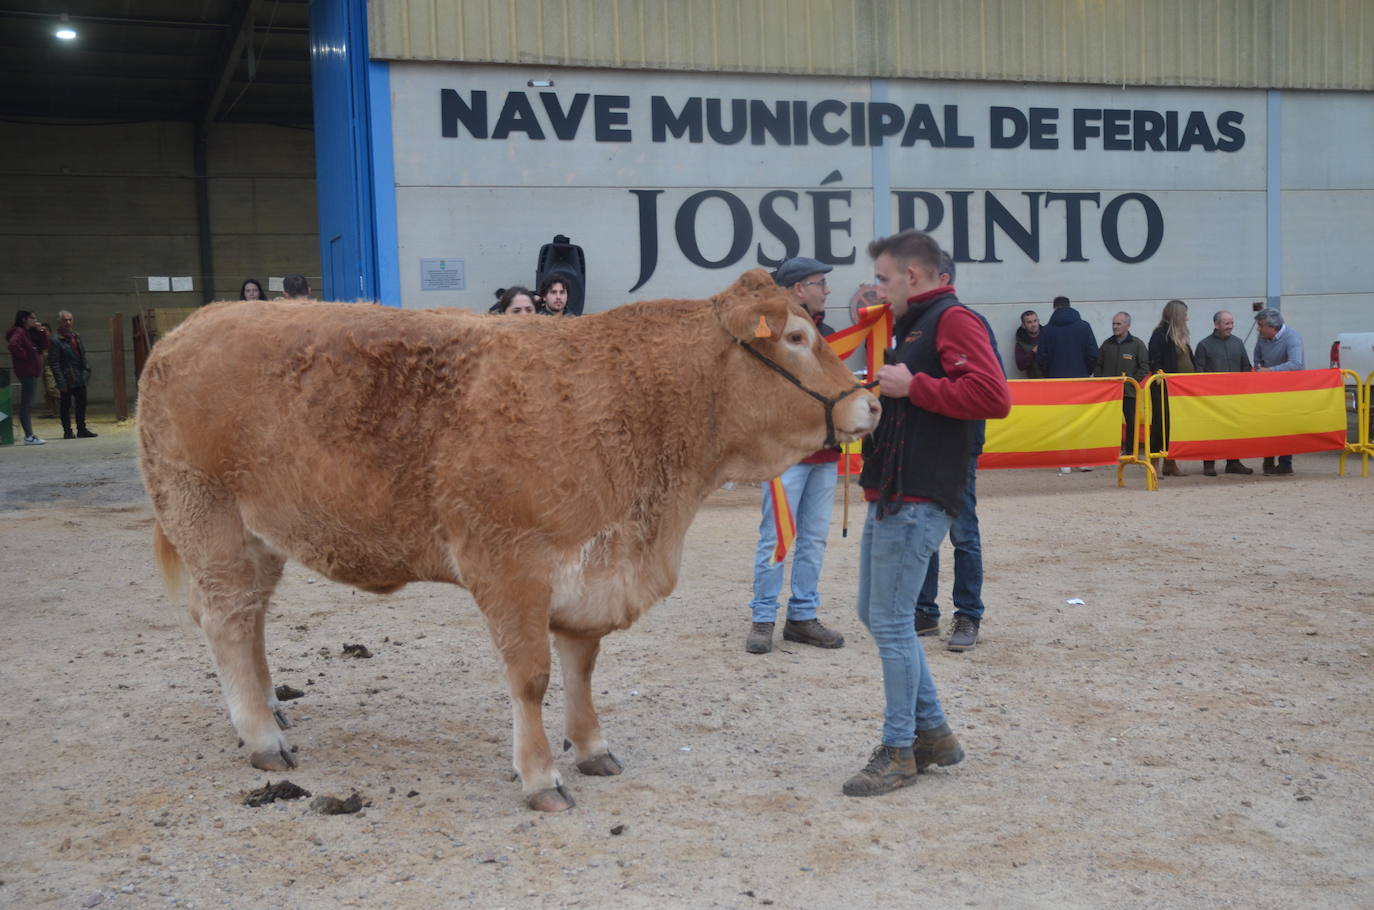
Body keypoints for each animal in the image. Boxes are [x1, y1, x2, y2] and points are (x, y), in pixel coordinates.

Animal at [139, 270, 879, 813]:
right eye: (797, 335)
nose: (868, 402)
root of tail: (191, 327)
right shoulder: (510, 566)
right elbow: (531, 678)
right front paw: (541, 776)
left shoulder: (591, 569)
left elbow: (581, 667)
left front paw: (592, 747)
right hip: (210, 521)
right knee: (228, 622)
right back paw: (262, 736)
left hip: (261, 539)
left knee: (251, 622)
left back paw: (268, 709)